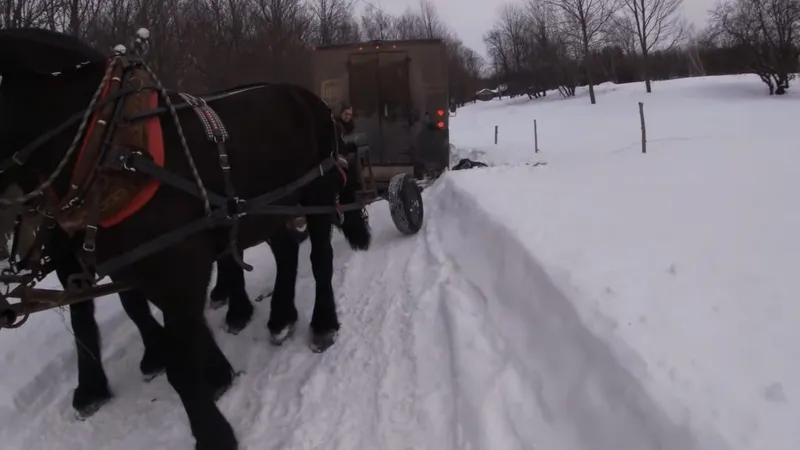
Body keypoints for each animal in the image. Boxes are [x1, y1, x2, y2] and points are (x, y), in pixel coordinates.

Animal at [0, 28, 370, 450]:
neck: (109, 147)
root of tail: (313, 100)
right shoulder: (126, 264)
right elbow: (118, 316)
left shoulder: (176, 264)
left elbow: (180, 359)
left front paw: (213, 430)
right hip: (267, 208)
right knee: (287, 250)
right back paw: (280, 316)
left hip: (316, 191)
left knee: (320, 256)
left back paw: (322, 321)